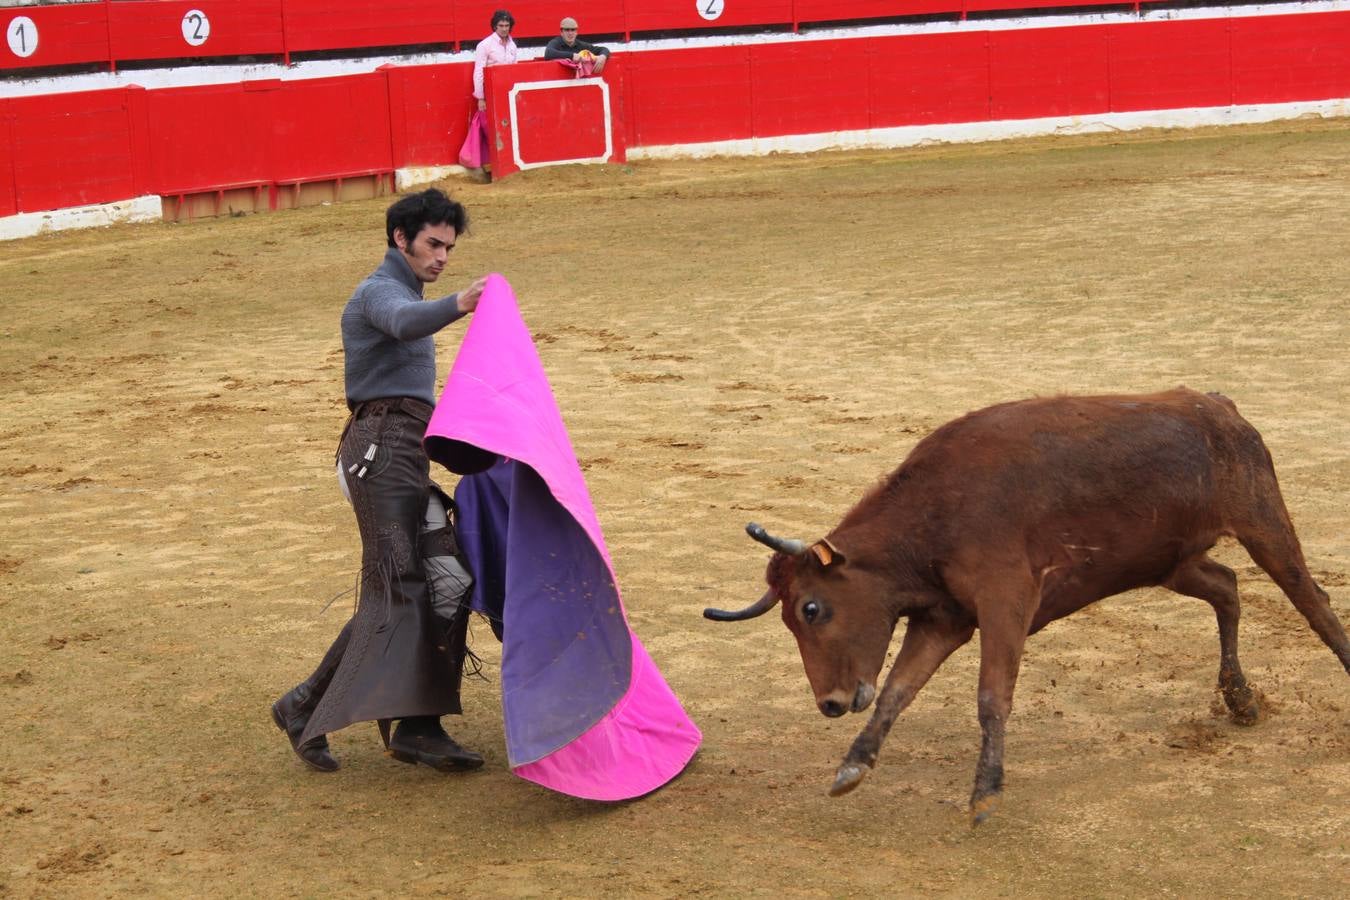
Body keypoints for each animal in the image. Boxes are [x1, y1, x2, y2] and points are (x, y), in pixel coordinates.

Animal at [707, 388, 1350, 825]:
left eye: (812, 609)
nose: (831, 704)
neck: (934, 515)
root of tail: (1217, 404)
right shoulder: (943, 620)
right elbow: (896, 691)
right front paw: (853, 766)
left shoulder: (1005, 601)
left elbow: (992, 696)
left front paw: (985, 793)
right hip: (1171, 561)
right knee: (1227, 587)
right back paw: (1240, 699)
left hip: (1263, 522)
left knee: (1313, 603)